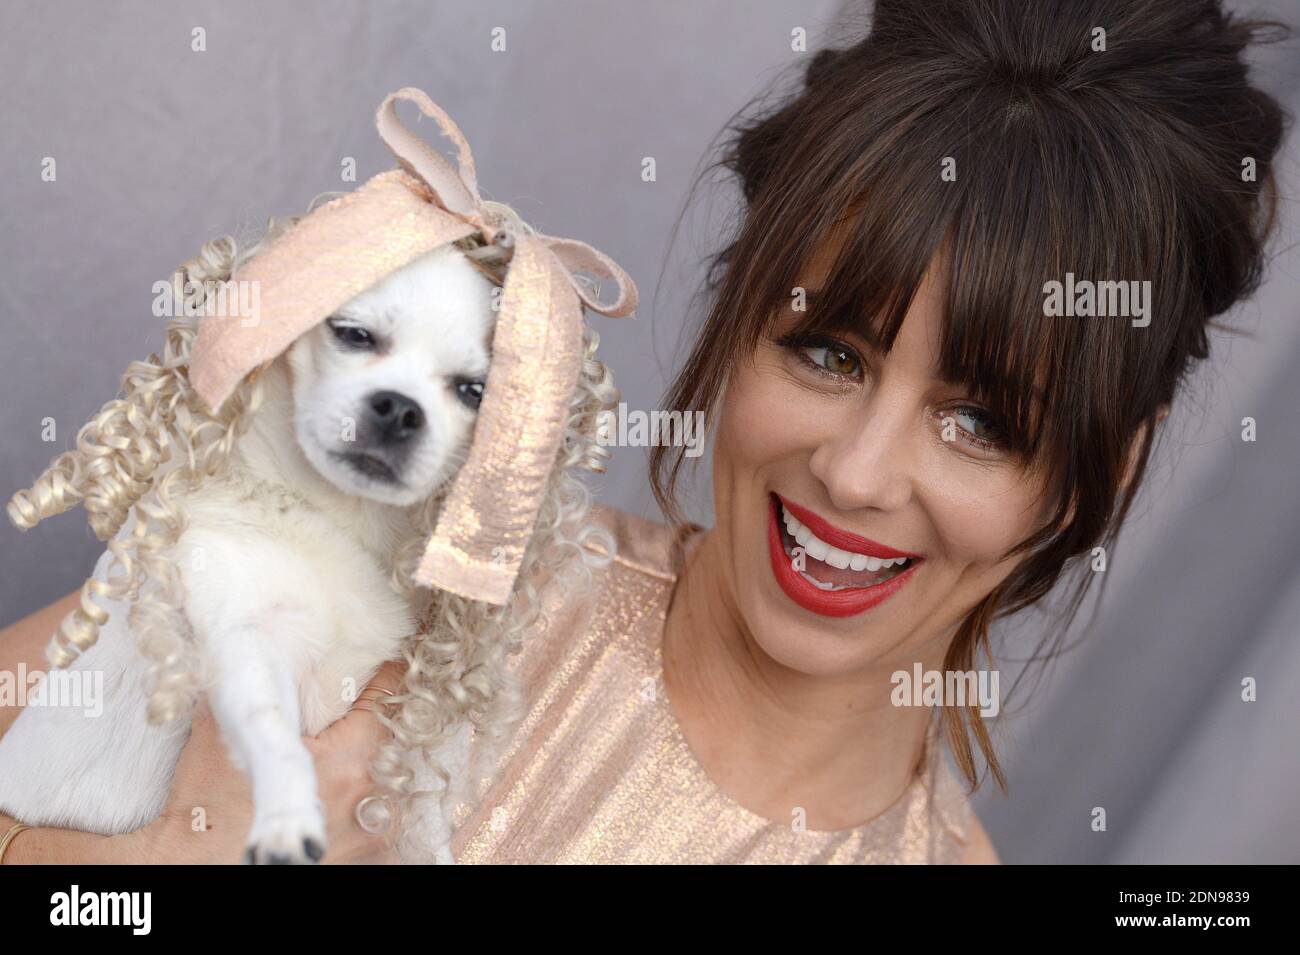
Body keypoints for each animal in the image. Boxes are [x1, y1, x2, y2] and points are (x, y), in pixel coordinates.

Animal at [0, 246, 496, 867]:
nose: (402, 409)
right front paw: (287, 811)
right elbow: (272, 732)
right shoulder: (250, 642)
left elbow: (426, 818)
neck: (337, 517)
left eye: (474, 392)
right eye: (353, 334)